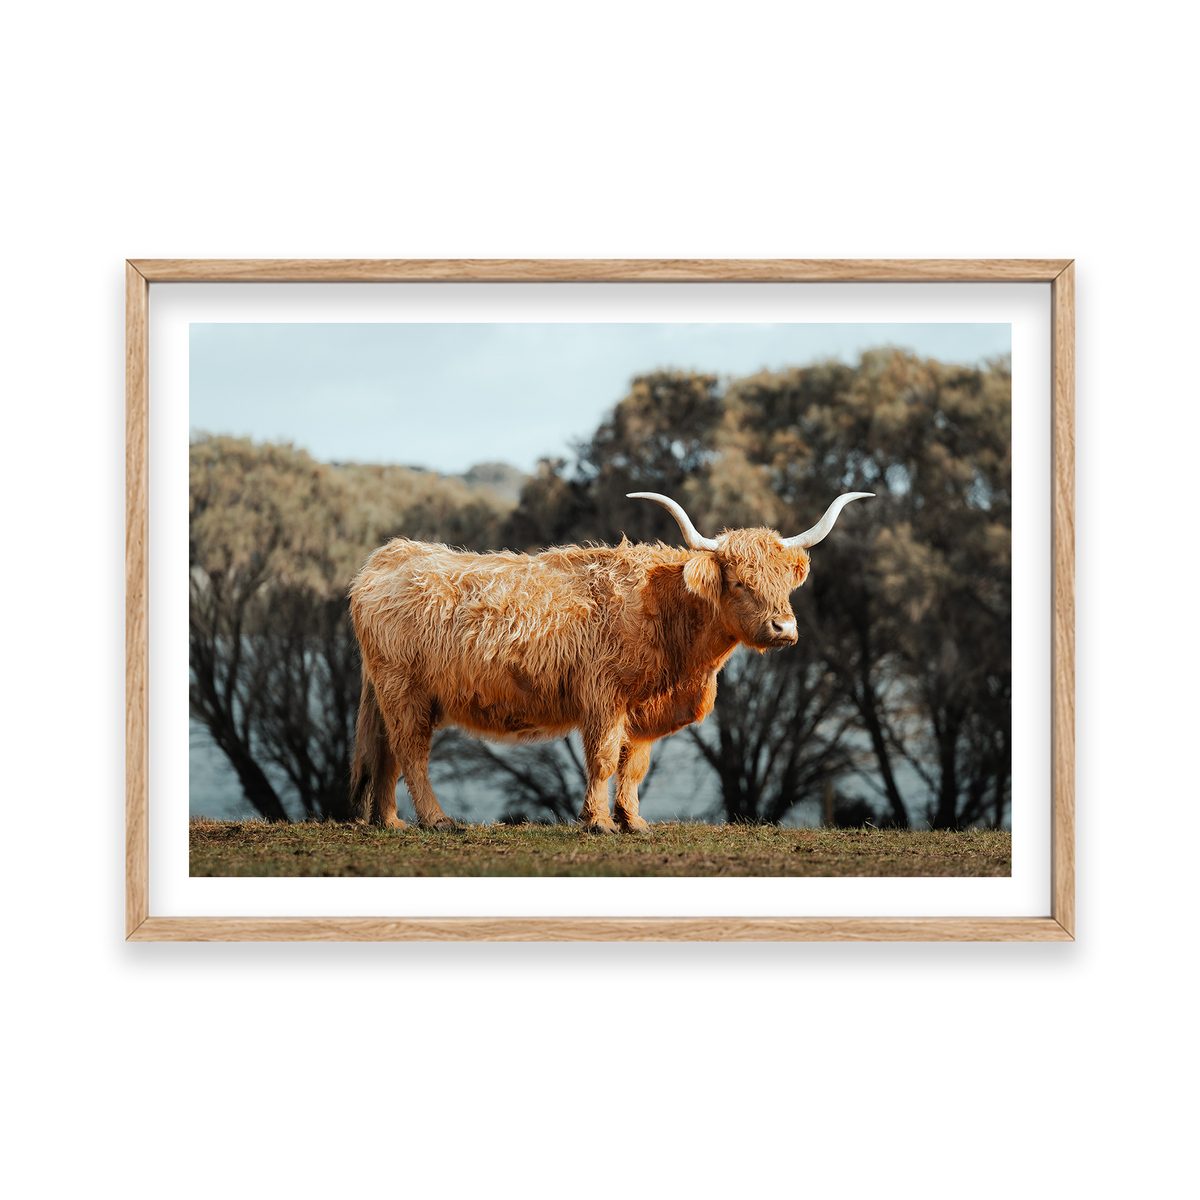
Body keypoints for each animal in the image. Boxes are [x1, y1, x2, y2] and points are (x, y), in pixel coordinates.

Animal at [347, 491, 872, 833]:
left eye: (785, 582)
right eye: (741, 582)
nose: (784, 628)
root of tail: (390, 554)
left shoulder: (643, 708)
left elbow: (633, 765)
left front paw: (634, 821)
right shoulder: (604, 696)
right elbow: (602, 759)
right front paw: (598, 822)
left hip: (392, 693)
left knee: (387, 752)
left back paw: (390, 822)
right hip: (405, 690)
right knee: (411, 752)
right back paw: (437, 821)